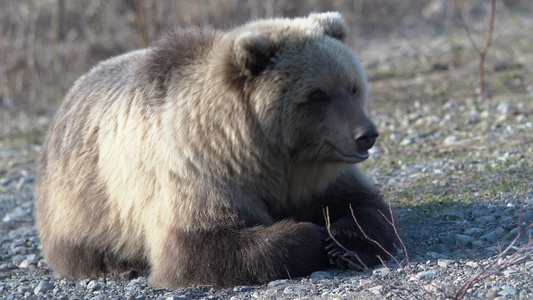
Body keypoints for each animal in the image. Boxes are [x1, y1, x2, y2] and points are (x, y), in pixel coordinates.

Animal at [35, 12, 396, 288]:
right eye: (317, 95)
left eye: (352, 86)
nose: (366, 135)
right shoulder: (199, 171)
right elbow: (199, 246)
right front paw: (310, 235)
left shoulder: (322, 174)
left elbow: (367, 205)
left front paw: (341, 241)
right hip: (84, 200)